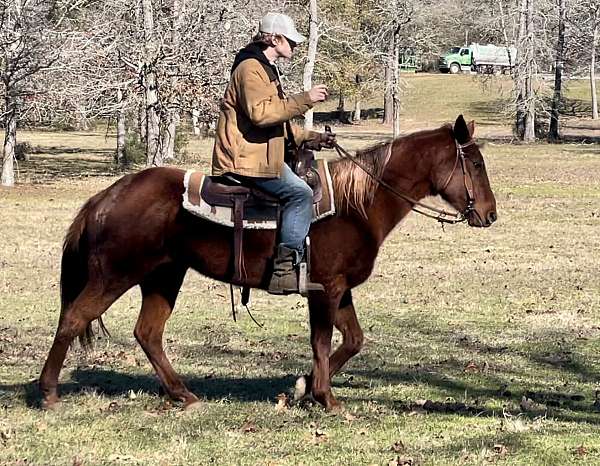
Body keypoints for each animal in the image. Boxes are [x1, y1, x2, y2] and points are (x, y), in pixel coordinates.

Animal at [38, 116, 496, 412]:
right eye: (474, 163)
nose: (490, 214)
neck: (358, 206)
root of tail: (105, 197)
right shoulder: (325, 290)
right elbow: (322, 342)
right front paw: (325, 397)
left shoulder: (340, 290)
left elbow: (352, 340)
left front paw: (304, 387)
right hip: (114, 275)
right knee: (74, 318)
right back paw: (47, 392)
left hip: (163, 276)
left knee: (147, 333)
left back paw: (182, 394)